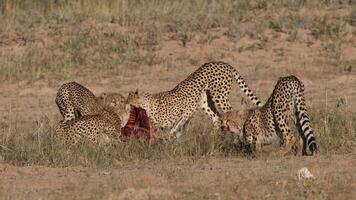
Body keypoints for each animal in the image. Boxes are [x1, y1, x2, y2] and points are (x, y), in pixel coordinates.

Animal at [126, 61, 262, 138]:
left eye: (129, 100)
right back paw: (213, 137)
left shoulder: (186, 111)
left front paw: (171, 137)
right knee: (216, 118)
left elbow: (177, 125)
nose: (125, 105)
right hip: (204, 102)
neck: (147, 105)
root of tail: (223, 63)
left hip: (219, 96)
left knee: (230, 112)